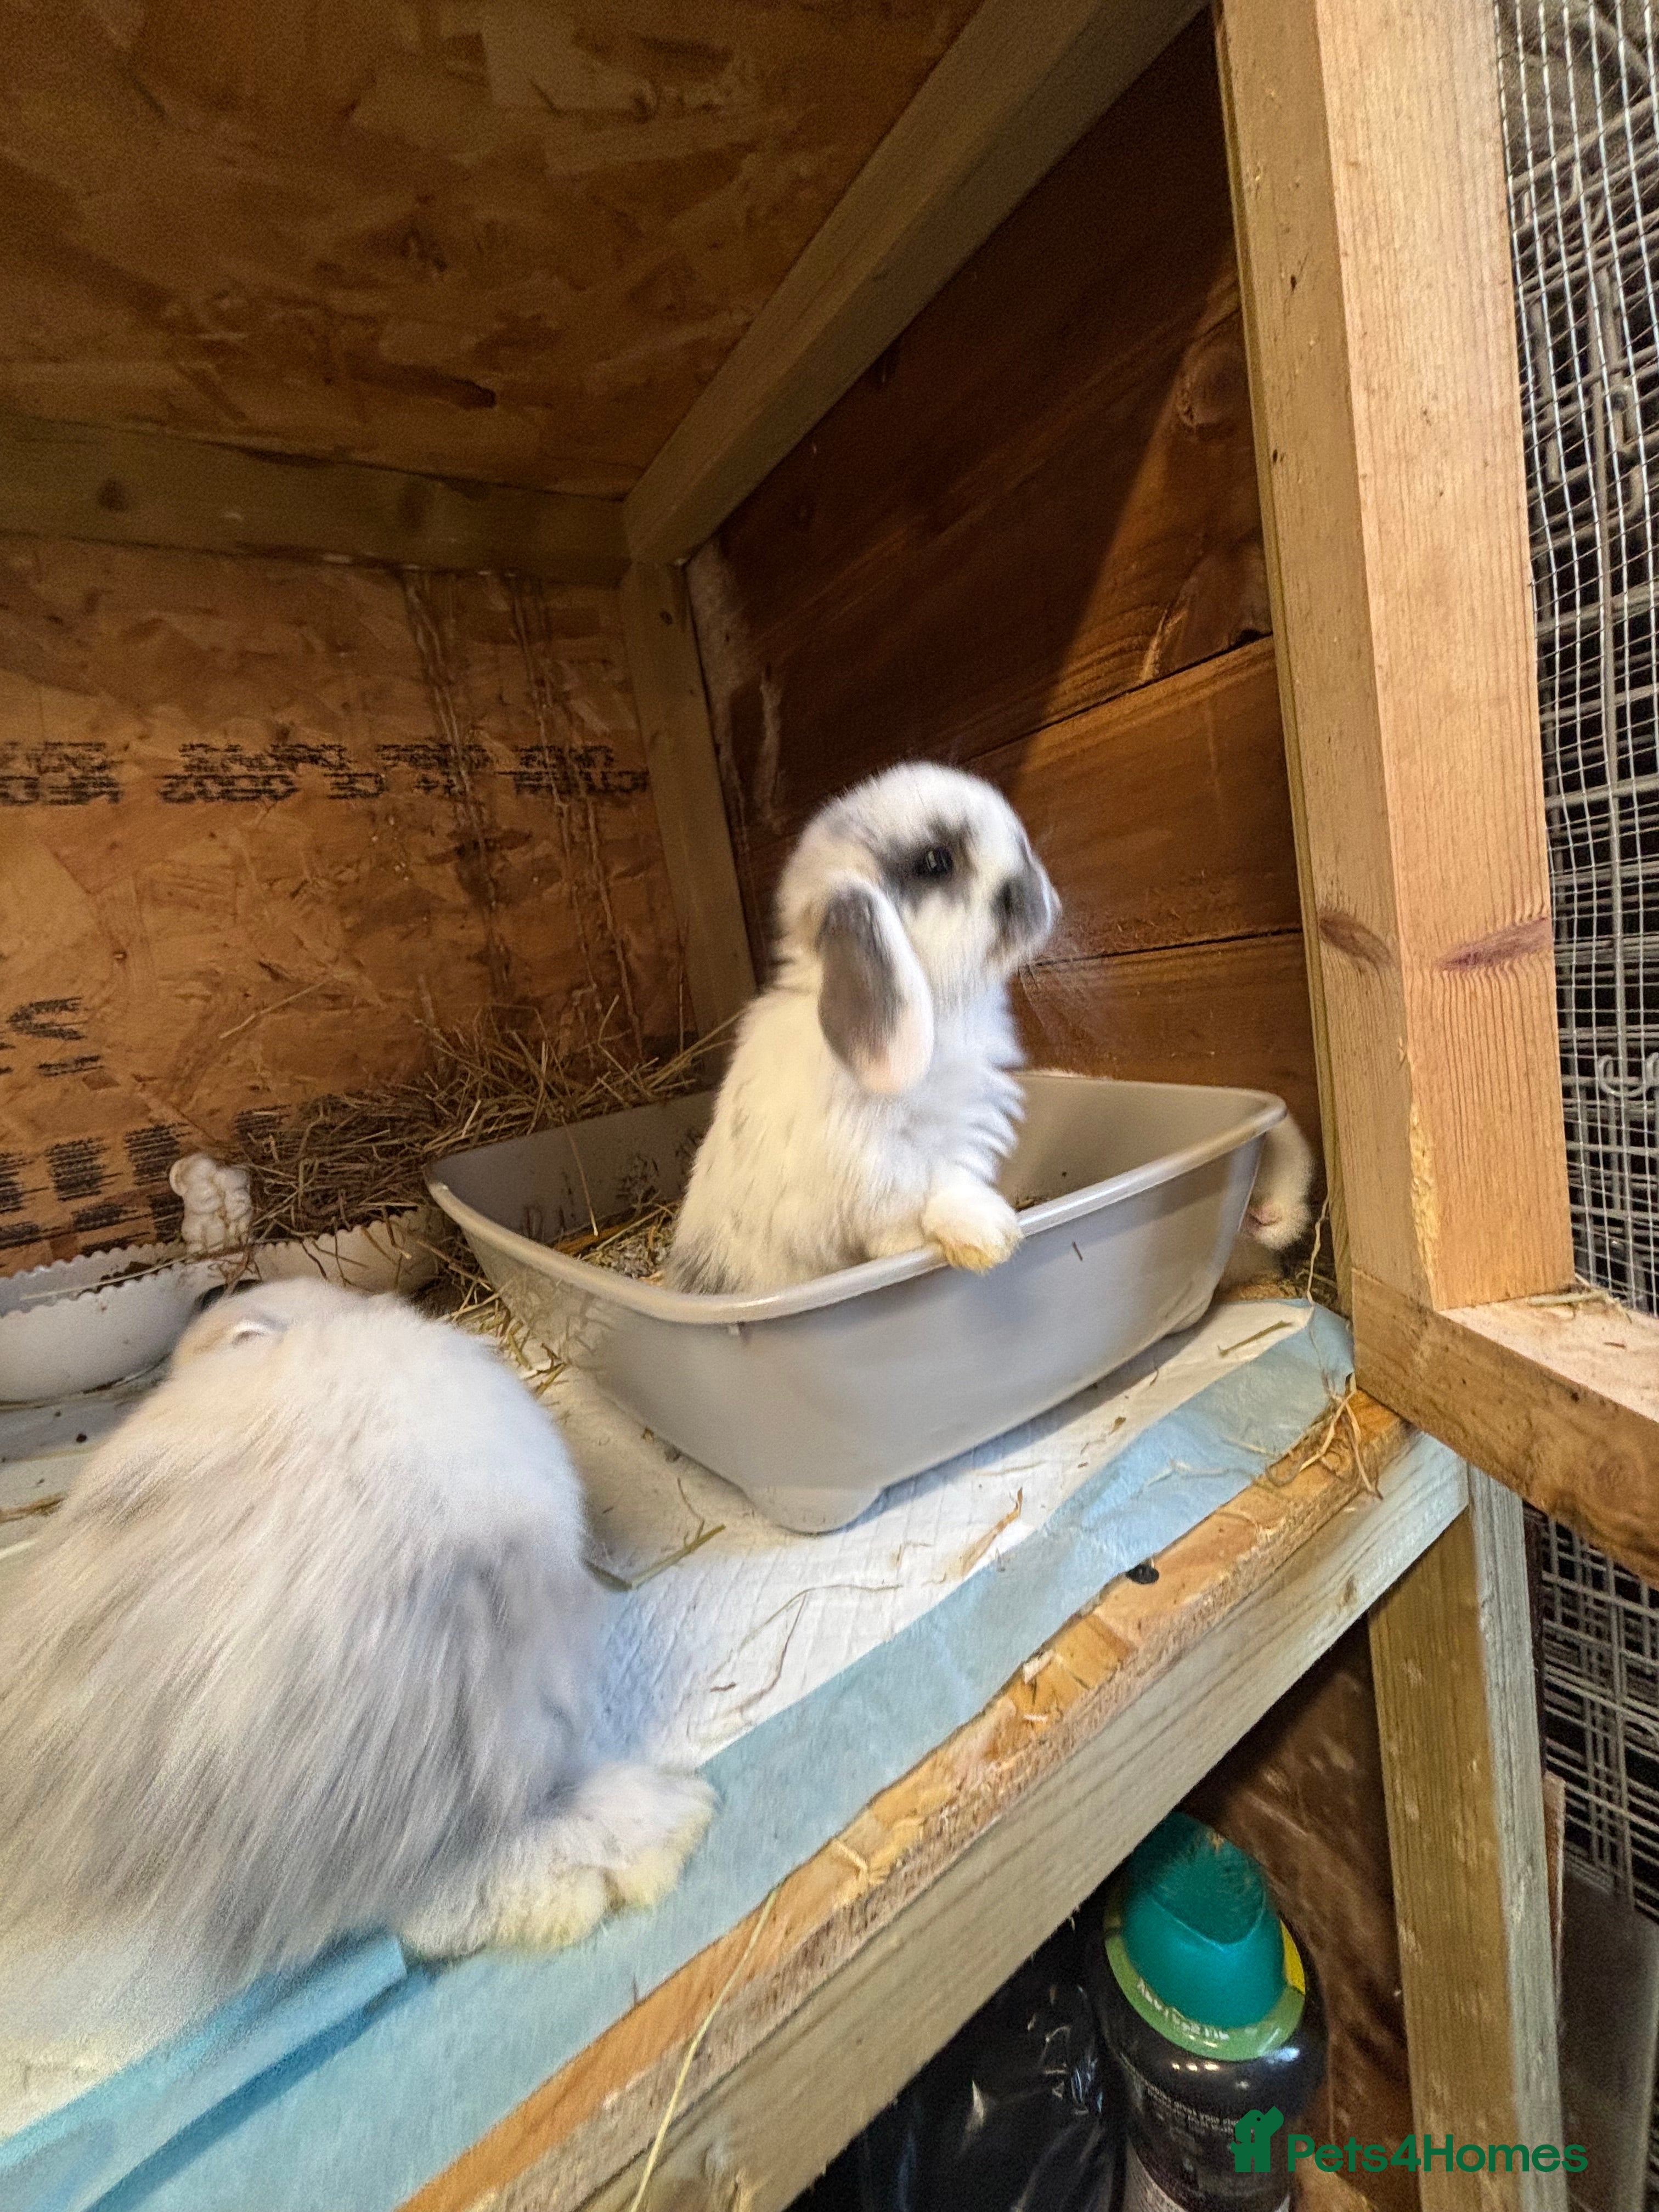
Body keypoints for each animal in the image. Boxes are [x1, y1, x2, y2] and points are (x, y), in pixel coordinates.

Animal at [667, 762, 1059, 1296]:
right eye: (935, 862)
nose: (1039, 894)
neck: (943, 1011)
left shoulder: (959, 1134)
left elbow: (952, 1185)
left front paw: (989, 1230)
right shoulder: (876, 1167)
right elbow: (907, 1213)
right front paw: (984, 1237)